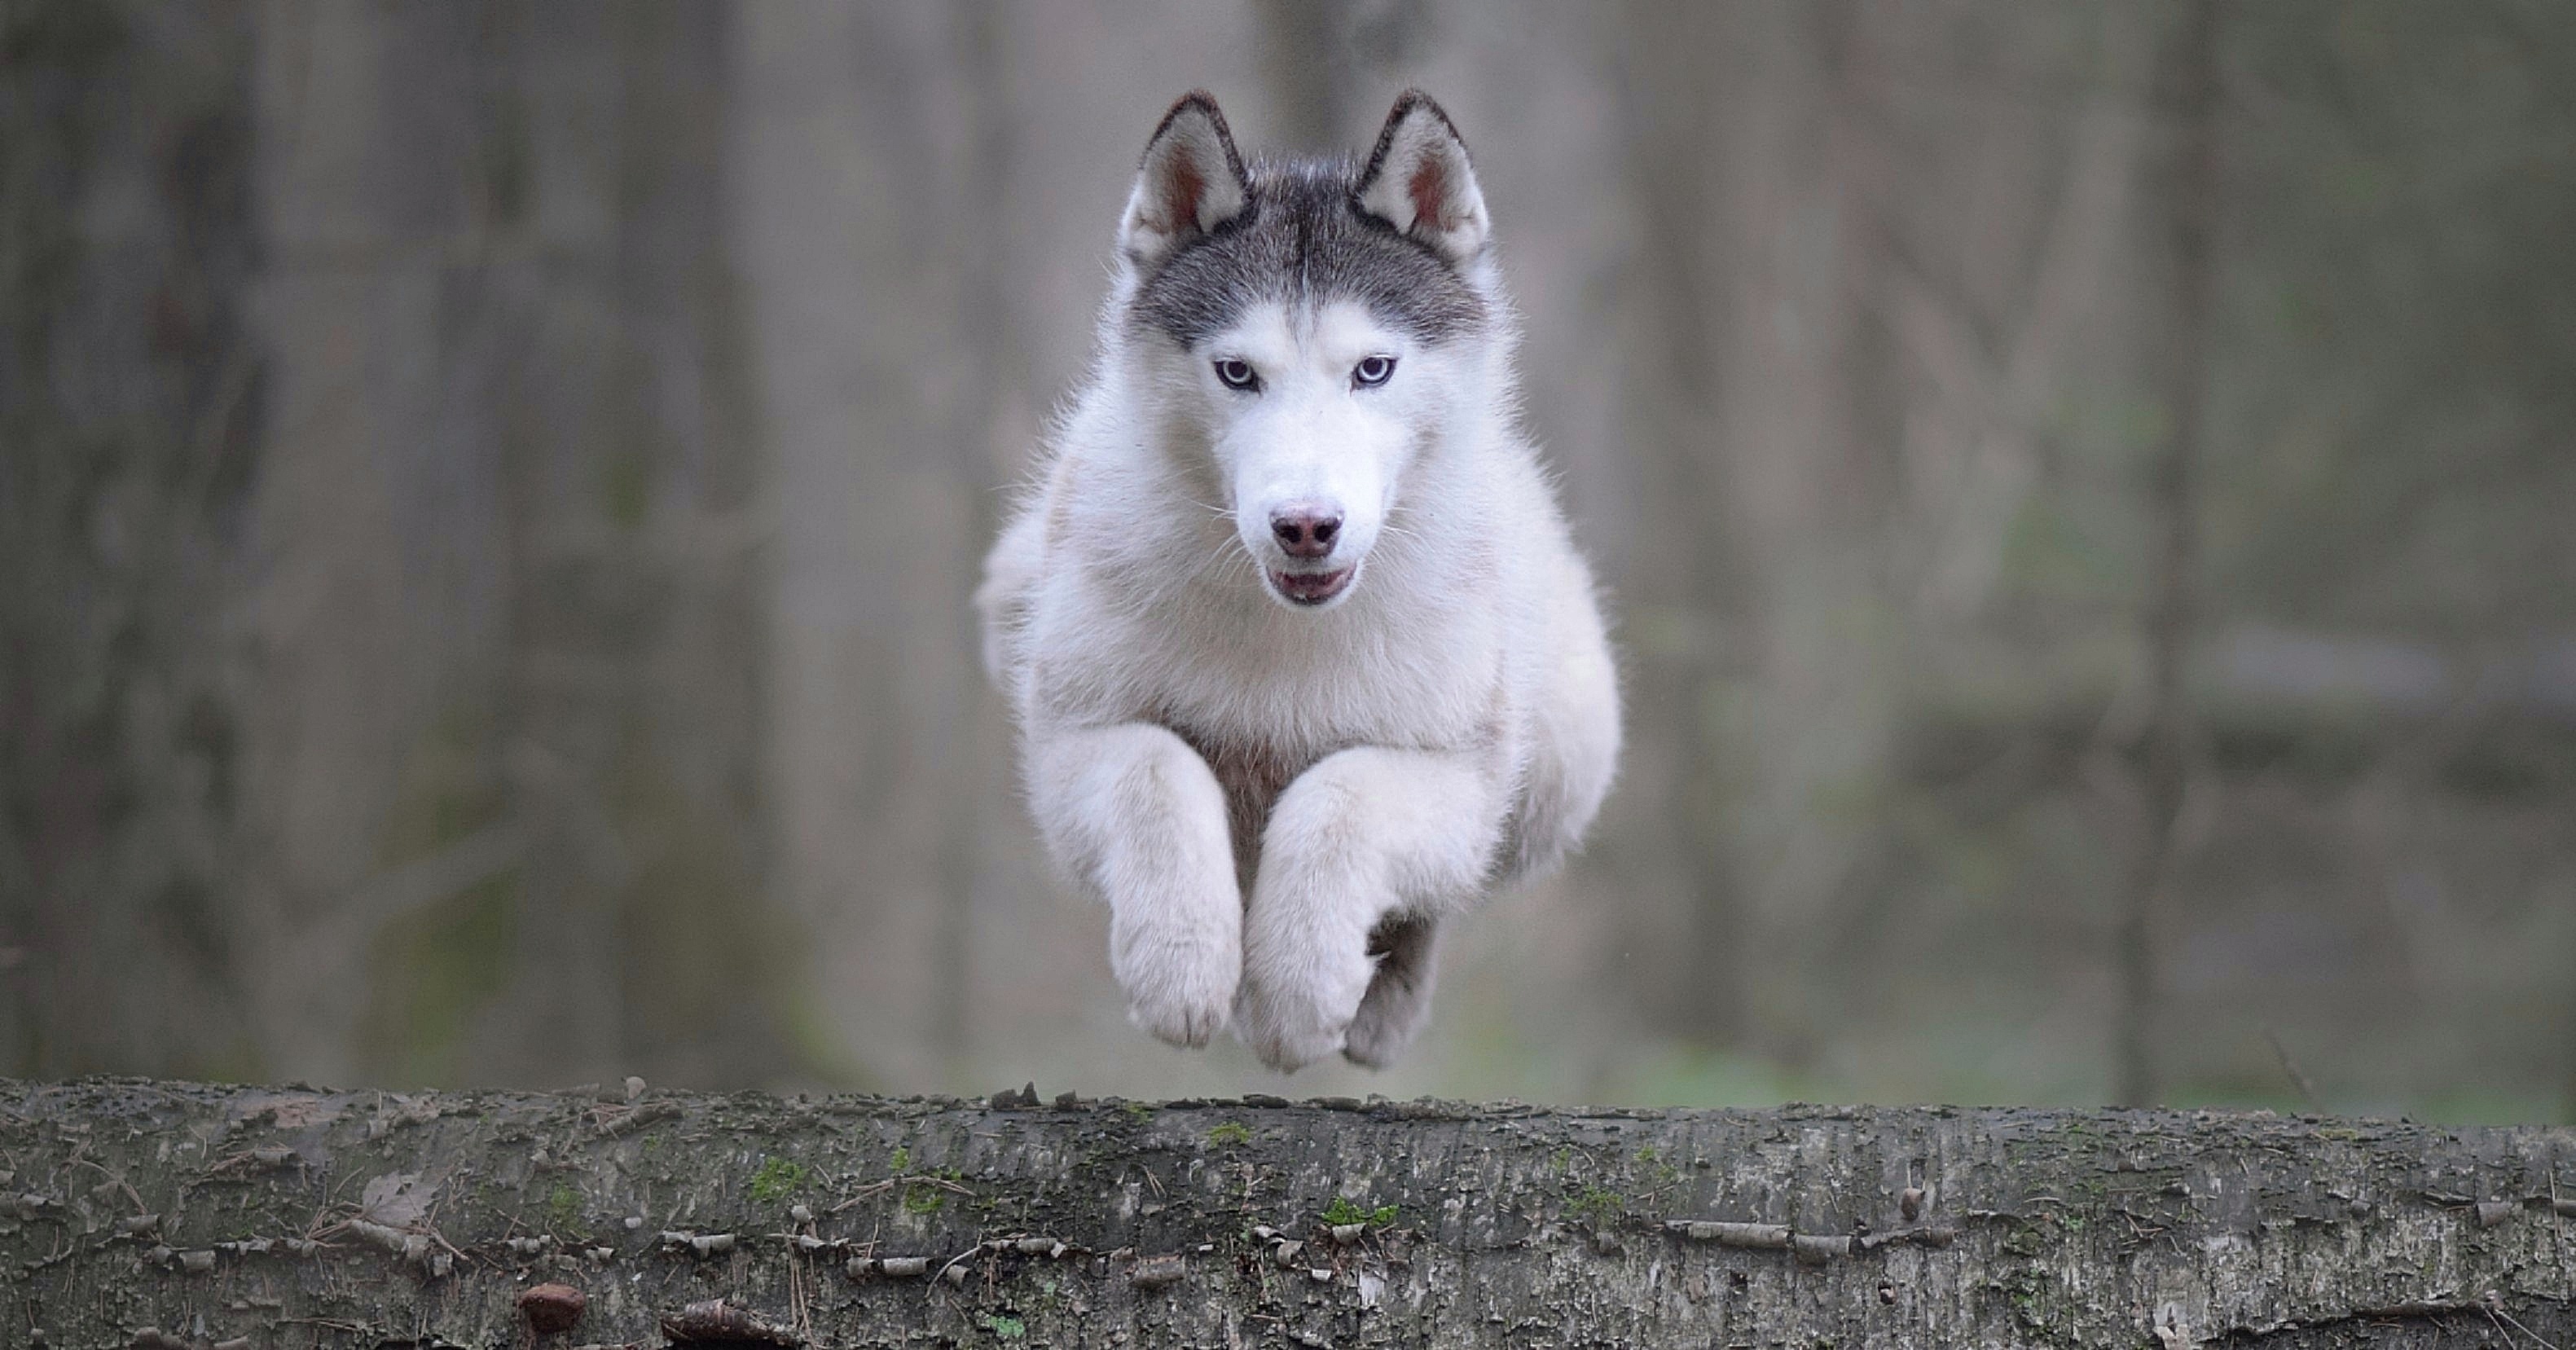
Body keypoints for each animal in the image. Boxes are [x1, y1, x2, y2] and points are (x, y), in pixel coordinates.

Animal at [974, 89, 1617, 1071]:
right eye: (1237, 372)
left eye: (1373, 369)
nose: (1307, 527)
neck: (1284, 636)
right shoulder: (1071, 742)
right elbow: (1159, 769)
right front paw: (1182, 964)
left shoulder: (1460, 773)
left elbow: (1338, 795)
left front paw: (1298, 989)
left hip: (1560, 762)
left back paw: (1383, 1004)